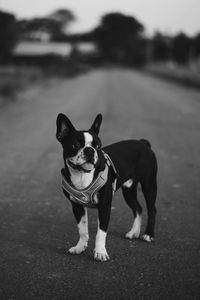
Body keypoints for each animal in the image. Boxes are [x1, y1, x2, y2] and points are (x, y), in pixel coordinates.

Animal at [56, 113, 158, 262]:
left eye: (98, 146)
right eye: (76, 145)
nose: (90, 150)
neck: (82, 175)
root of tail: (143, 143)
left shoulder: (104, 206)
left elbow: (101, 233)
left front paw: (100, 252)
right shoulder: (77, 206)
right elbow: (82, 230)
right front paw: (80, 247)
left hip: (149, 185)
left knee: (152, 209)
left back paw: (148, 234)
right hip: (129, 190)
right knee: (138, 208)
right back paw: (134, 232)